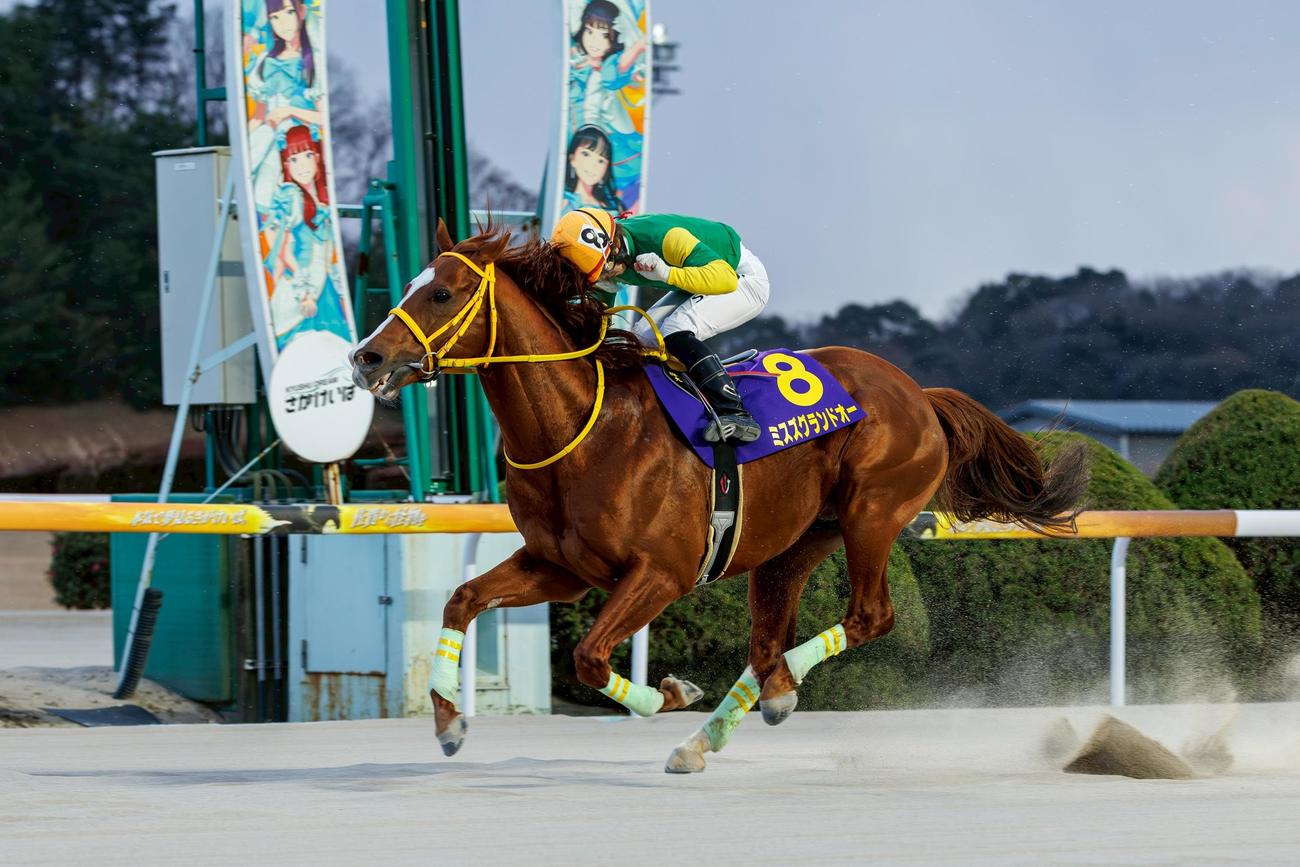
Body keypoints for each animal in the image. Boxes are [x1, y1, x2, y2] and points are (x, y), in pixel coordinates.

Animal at [349, 220, 1089, 773]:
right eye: (412, 284)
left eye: (443, 293)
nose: (366, 358)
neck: (584, 426)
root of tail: (920, 393)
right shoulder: (559, 565)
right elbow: (462, 598)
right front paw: (449, 721)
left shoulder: (662, 571)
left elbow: (589, 656)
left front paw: (671, 691)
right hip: (797, 541)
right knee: (768, 636)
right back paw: (713, 733)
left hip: (873, 513)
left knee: (865, 617)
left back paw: (779, 688)